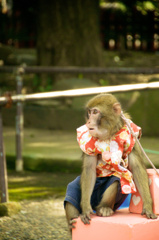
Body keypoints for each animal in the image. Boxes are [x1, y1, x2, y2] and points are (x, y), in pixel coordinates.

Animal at [63, 93, 157, 231]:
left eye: (95, 112)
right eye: (89, 112)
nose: (88, 121)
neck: (109, 133)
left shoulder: (132, 136)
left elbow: (137, 167)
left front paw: (148, 207)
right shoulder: (87, 138)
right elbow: (89, 169)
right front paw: (85, 209)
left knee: (116, 180)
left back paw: (104, 208)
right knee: (72, 193)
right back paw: (72, 221)